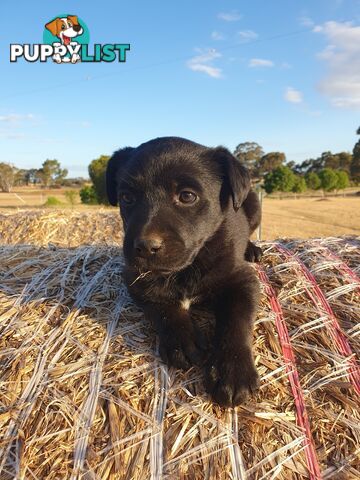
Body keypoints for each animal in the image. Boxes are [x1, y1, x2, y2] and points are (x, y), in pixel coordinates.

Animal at [106, 137, 262, 406]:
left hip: (253, 205)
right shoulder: (135, 278)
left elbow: (237, 320)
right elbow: (162, 307)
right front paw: (182, 339)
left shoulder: (242, 280)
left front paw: (232, 371)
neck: (187, 268)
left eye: (187, 196)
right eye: (126, 197)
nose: (145, 247)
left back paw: (252, 249)